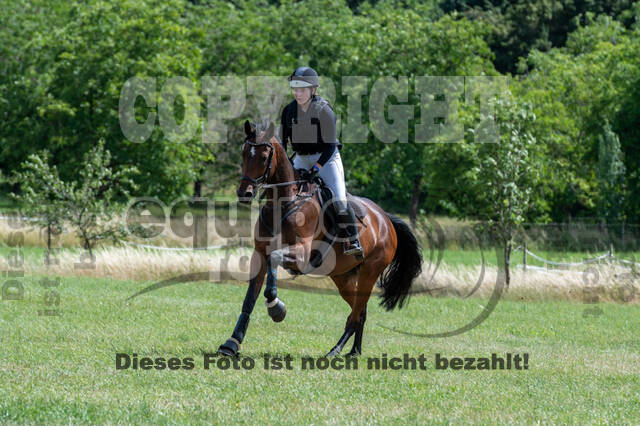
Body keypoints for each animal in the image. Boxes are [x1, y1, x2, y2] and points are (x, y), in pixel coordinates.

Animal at [218, 119, 422, 356]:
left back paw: (335, 350)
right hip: (343, 277)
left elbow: (274, 261)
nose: (245, 194)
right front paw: (232, 343)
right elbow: (249, 299)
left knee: (356, 313)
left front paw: (277, 308)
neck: (283, 202)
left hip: (369, 272)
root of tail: (386, 219)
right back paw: (354, 351)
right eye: (243, 154)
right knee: (360, 311)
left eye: (262, 157)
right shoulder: (259, 254)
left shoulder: (301, 253)